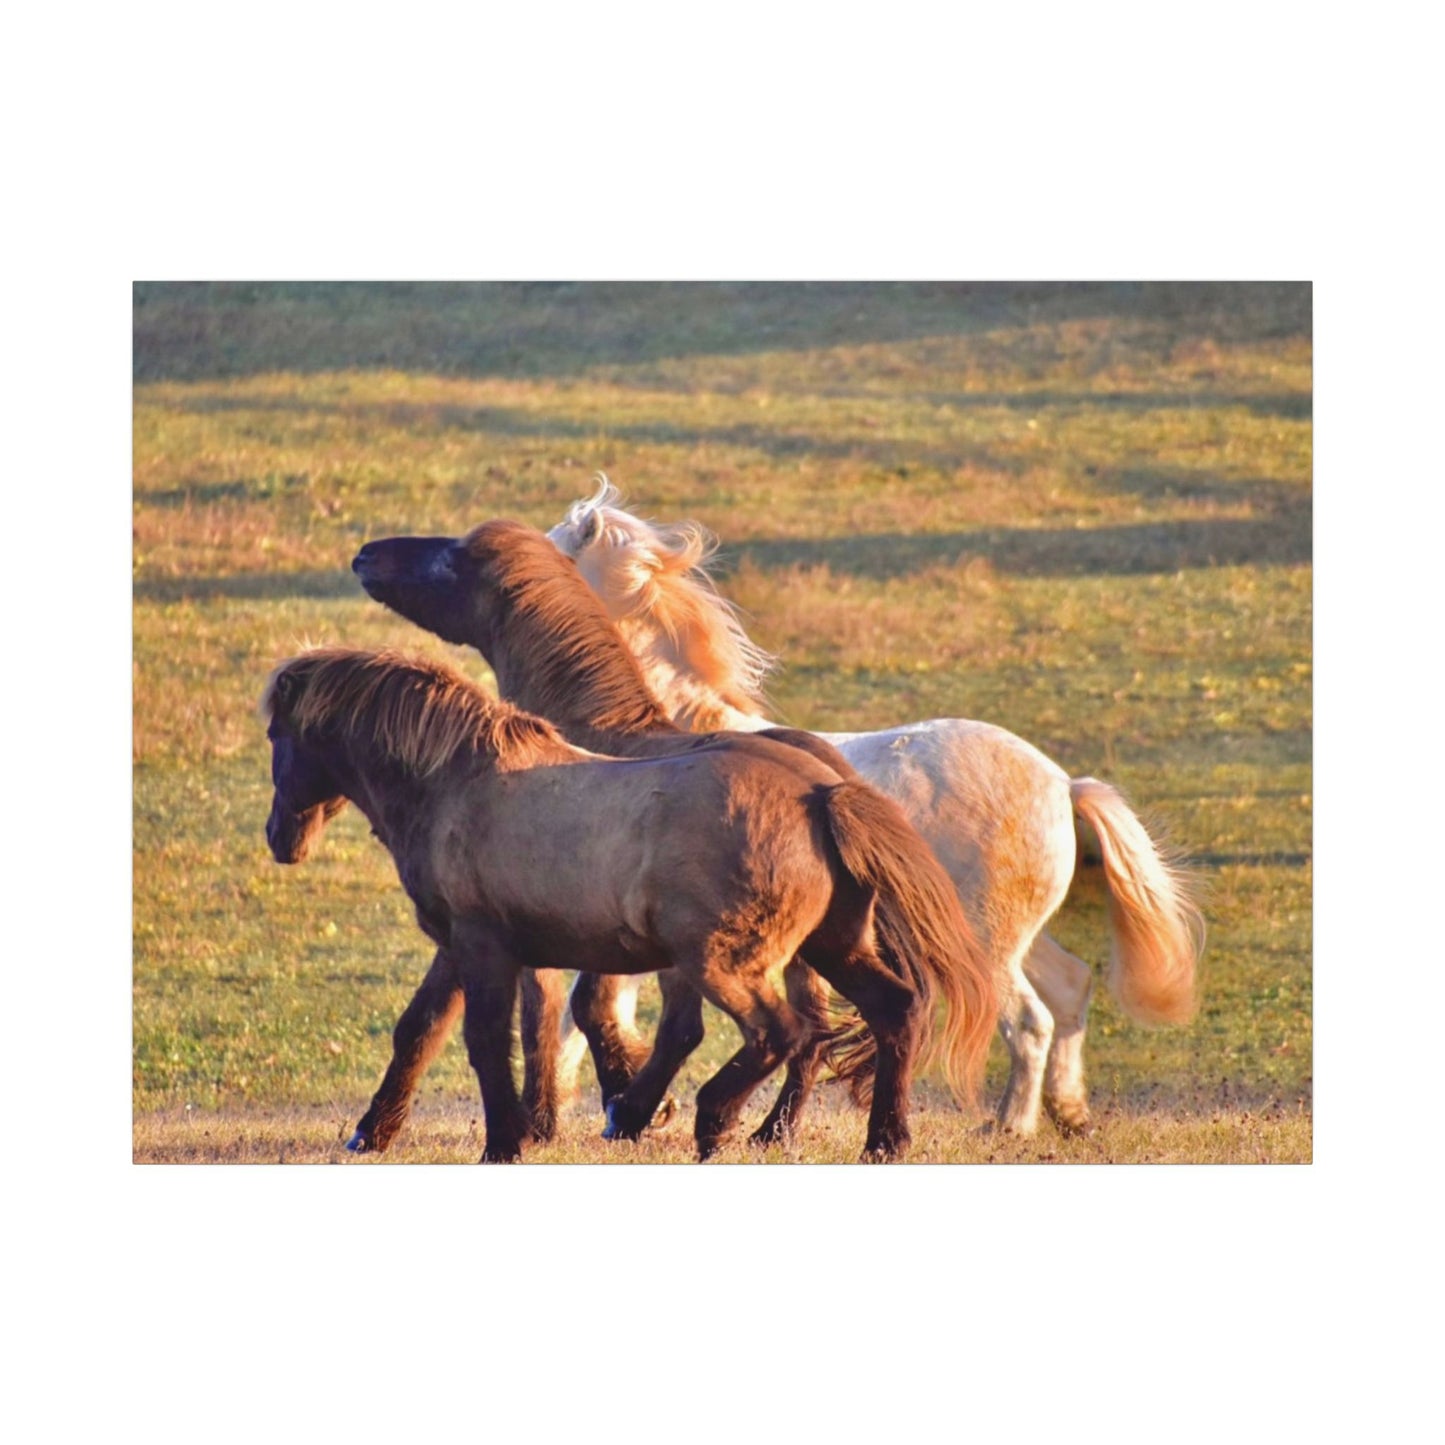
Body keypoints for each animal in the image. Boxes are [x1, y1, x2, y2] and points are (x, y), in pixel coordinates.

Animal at [349, 519, 997, 1152]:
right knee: (856, 1020)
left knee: (785, 1028)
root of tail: (827, 790)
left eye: (451, 559)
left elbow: (546, 1015)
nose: (365, 555)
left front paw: (607, 1106)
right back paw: (846, 1134)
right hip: (813, 946)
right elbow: (466, 1020)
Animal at [546, 476, 1205, 1135]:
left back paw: (1009, 1126)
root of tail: (1063, 784)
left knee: (1030, 1021)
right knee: (1070, 989)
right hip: (1018, 938)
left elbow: (586, 1011)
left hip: (986, 945)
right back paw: (1068, 1114)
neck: (661, 735)